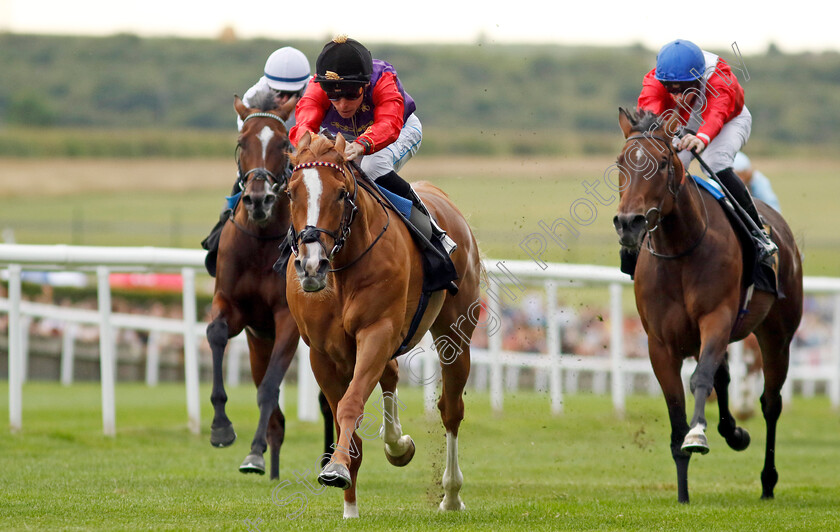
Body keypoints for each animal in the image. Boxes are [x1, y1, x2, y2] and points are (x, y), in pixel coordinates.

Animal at [205, 93, 334, 480]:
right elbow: (216, 334)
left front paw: (251, 445)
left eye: (282, 144)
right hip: (258, 339)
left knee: (327, 401)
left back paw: (328, 458)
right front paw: (222, 428)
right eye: (241, 142)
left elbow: (269, 387)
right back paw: (269, 459)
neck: (261, 240)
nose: (258, 199)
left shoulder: (287, 321)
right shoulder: (233, 307)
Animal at [280, 133, 480, 520]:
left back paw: (450, 494)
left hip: (455, 330)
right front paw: (349, 504)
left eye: (340, 193)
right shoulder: (322, 352)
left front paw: (337, 468)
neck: (341, 270)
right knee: (390, 374)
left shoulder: (377, 331)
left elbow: (351, 404)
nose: (311, 266)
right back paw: (397, 444)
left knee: (450, 409)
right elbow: (345, 413)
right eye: (291, 193)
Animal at [612, 108, 804, 502]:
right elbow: (676, 408)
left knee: (770, 402)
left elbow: (699, 379)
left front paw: (698, 435)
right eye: (621, 162)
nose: (628, 224)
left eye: (663, 162)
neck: (680, 249)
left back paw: (767, 481)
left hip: (777, 335)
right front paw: (683, 492)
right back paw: (734, 434)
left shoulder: (716, 319)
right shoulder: (660, 344)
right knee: (725, 377)